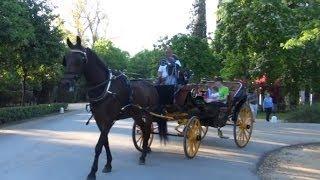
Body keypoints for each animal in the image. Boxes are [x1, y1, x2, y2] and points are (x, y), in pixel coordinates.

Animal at [61, 35, 166, 179]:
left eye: (80, 60)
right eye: (66, 59)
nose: (66, 83)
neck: (105, 88)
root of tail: (151, 85)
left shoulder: (108, 120)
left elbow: (98, 145)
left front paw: (92, 172)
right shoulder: (100, 120)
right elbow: (105, 142)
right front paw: (108, 164)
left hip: (148, 113)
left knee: (147, 130)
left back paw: (143, 156)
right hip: (136, 114)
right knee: (144, 129)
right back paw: (144, 151)